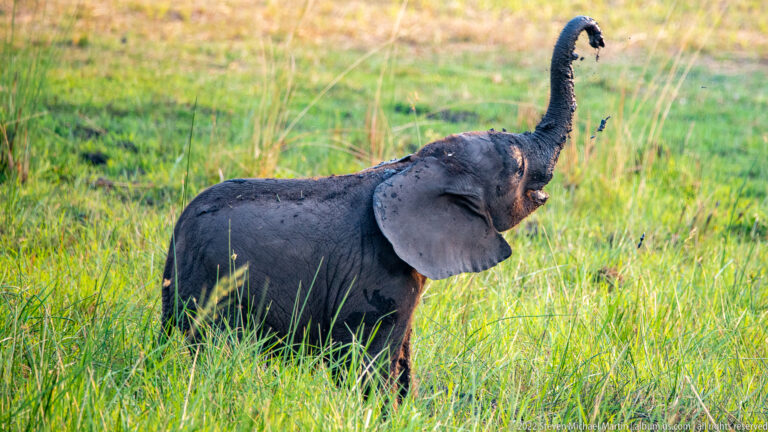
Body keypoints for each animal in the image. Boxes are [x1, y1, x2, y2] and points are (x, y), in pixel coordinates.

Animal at [160, 16, 605, 401]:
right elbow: (371, 358)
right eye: (516, 167)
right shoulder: (376, 270)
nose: (595, 35)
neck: (415, 167)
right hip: (215, 289)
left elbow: (401, 353)